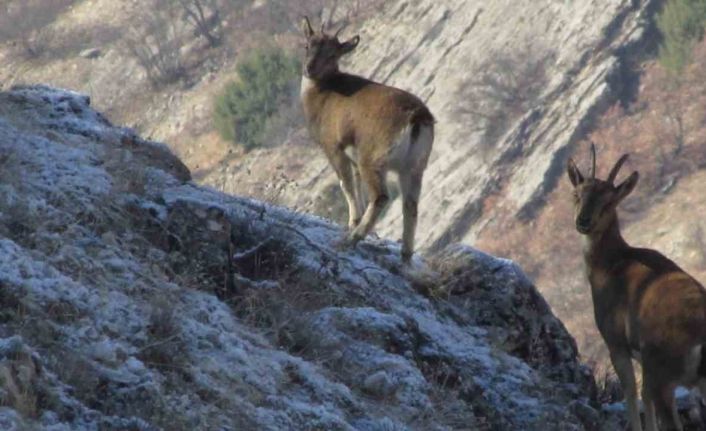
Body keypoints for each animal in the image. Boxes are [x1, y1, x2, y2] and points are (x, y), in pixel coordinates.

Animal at [296, 16, 432, 262]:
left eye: (332, 54)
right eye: (307, 45)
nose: (309, 69)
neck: (323, 95)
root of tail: (417, 117)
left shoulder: (334, 148)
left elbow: (346, 184)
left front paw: (352, 222)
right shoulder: (353, 157)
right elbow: (356, 184)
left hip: (374, 159)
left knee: (381, 197)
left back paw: (350, 240)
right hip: (413, 167)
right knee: (410, 205)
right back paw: (405, 256)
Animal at [564, 143, 704, 430]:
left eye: (609, 201)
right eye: (576, 194)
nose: (583, 221)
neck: (611, 264)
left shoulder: (616, 342)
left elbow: (631, 392)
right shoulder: (642, 360)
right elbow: (644, 398)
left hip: (664, 373)